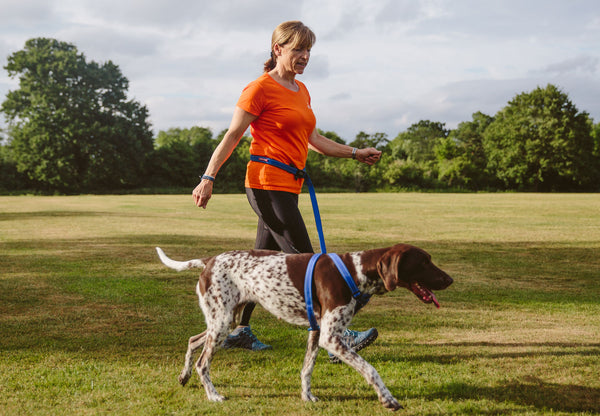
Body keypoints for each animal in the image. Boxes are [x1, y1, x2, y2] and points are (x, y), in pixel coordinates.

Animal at [157, 244, 452, 410]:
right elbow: (370, 370)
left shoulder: (317, 332)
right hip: (221, 324)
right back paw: (213, 395)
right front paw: (388, 399)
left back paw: (184, 376)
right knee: (203, 363)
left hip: (223, 321)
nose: (449, 280)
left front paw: (306, 397)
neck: (354, 271)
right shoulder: (331, 338)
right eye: (424, 261)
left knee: (193, 340)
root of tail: (209, 260)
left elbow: (307, 369)